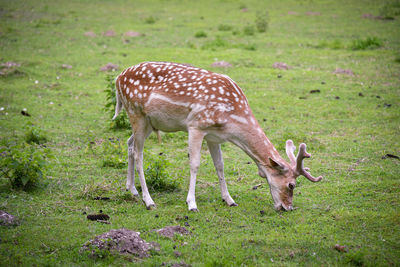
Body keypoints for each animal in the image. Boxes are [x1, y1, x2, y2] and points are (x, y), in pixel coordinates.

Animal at [112, 61, 322, 213]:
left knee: (130, 144)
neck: (232, 122)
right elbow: (195, 164)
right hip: (135, 113)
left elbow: (219, 165)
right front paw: (192, 204)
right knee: (139, 154)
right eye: (291, 185)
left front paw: (229, 200)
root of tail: (117, 79)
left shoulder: (214, 136)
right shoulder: (196, 125)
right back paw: (149, 201)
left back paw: (131, 189)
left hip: (149, 122)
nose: (288, 208)